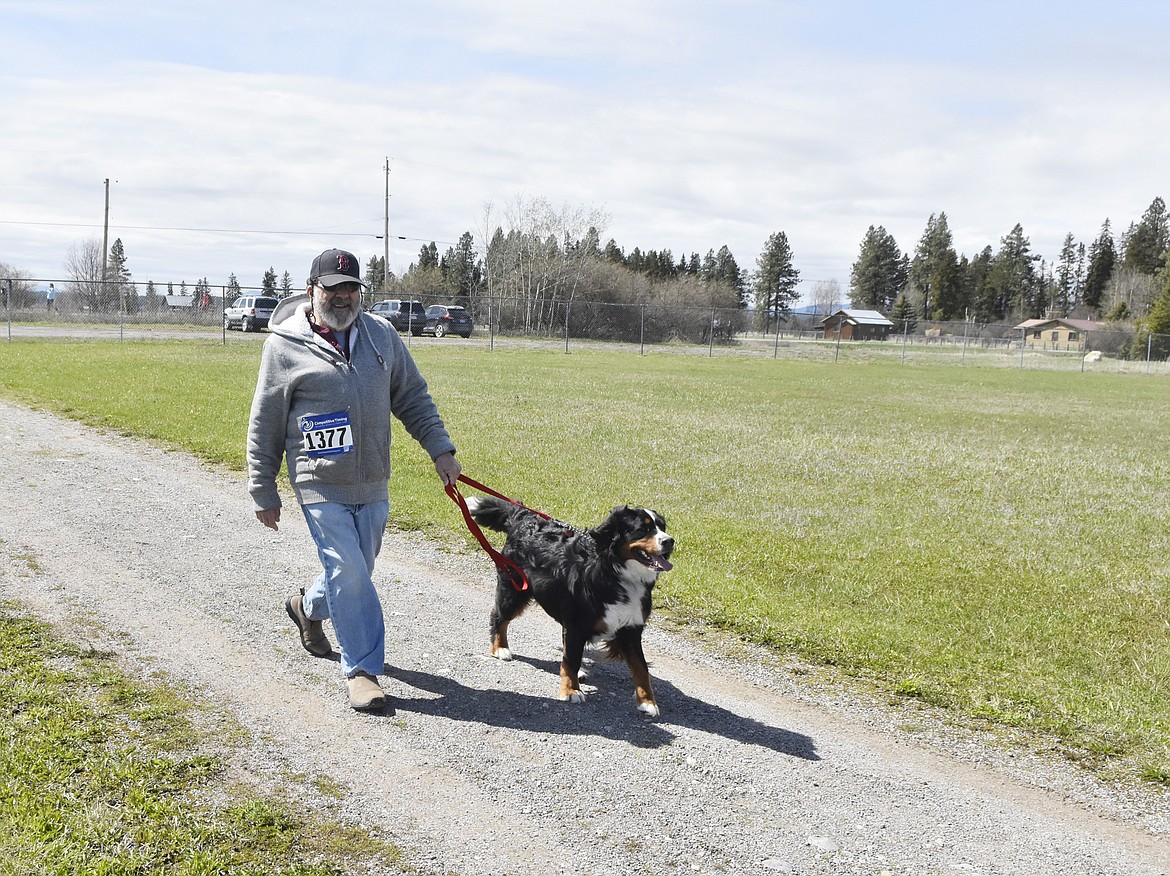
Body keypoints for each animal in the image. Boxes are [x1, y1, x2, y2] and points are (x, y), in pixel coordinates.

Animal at [460, 495, 673, 715]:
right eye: (643, 529)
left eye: (662, 526)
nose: (669, 541)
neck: (616, 571)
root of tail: (523, 516)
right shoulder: (576, 625)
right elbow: (570, 661)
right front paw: (571, 691)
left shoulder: (631, 627)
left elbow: (641, 668)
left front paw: (647, 702)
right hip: (514, 591)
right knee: (499, 616)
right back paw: (500, 648)